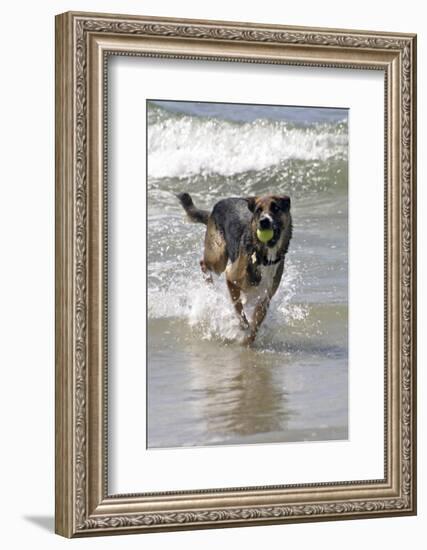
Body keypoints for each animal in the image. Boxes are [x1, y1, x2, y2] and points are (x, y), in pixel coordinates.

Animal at [176, 192, 292, 342]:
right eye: (258, 211)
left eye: (276, 208)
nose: (263, 221)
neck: (264, 257)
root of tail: (217, 205)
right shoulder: (230, 277)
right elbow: (238, 307)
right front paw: (243, 326)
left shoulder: (265, 299)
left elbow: (255, 326)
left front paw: (249, 341)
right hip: (218, 258)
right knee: (203, 263)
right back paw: (210, 286)